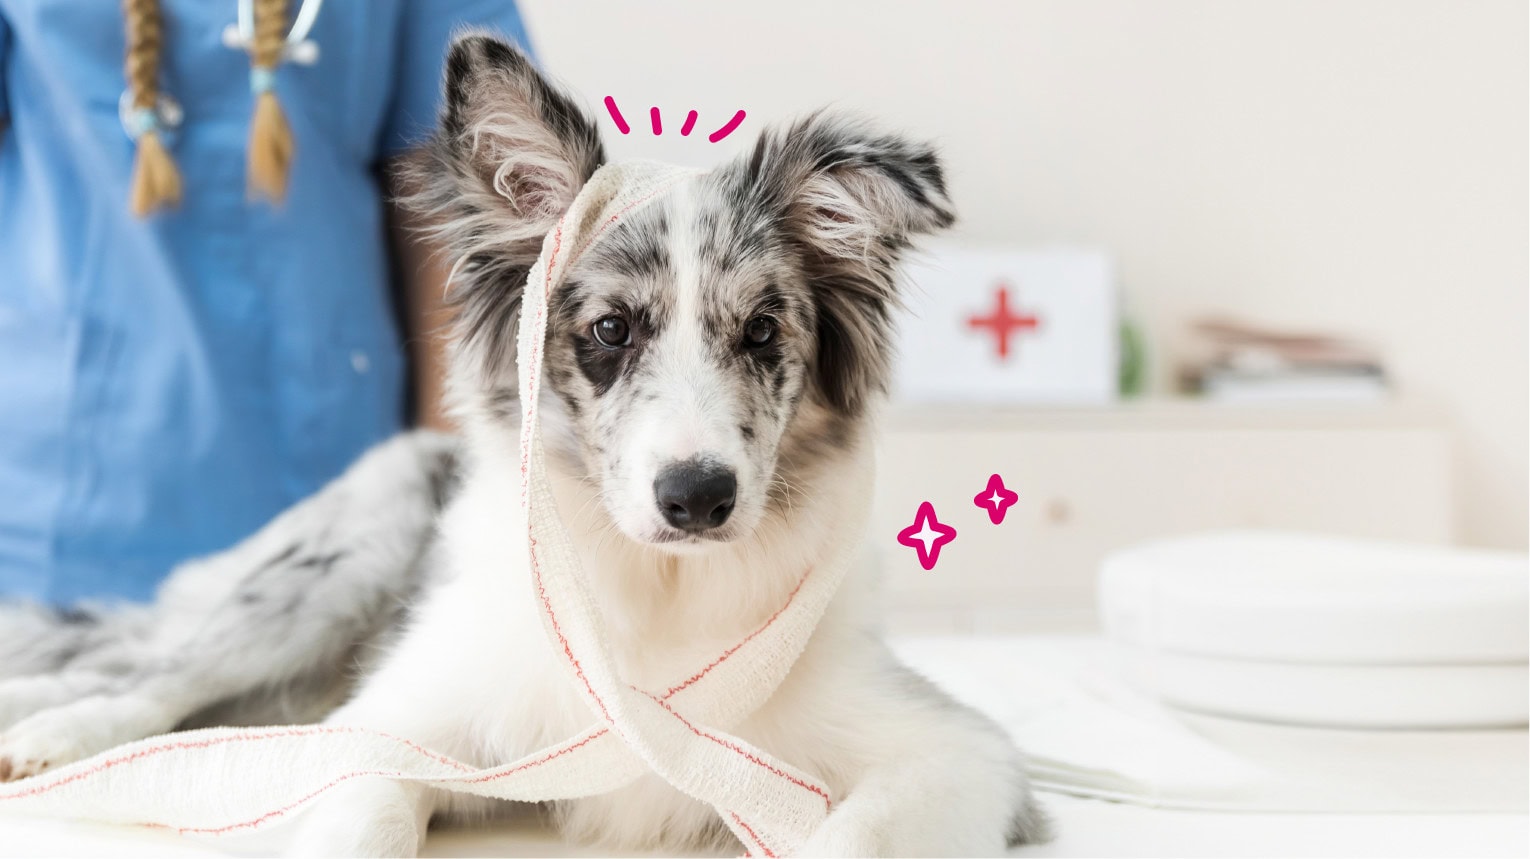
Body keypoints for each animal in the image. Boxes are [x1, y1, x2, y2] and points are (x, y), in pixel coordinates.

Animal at [0, 31, 1046, 851]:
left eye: (760, 332)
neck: (654, 592)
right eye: (611, 331)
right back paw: (52, 733)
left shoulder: (958, 755)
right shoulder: (395, 722)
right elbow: (364, 809)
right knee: (148, 671)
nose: (698, 497)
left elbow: (862, 828)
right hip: (341, 558)